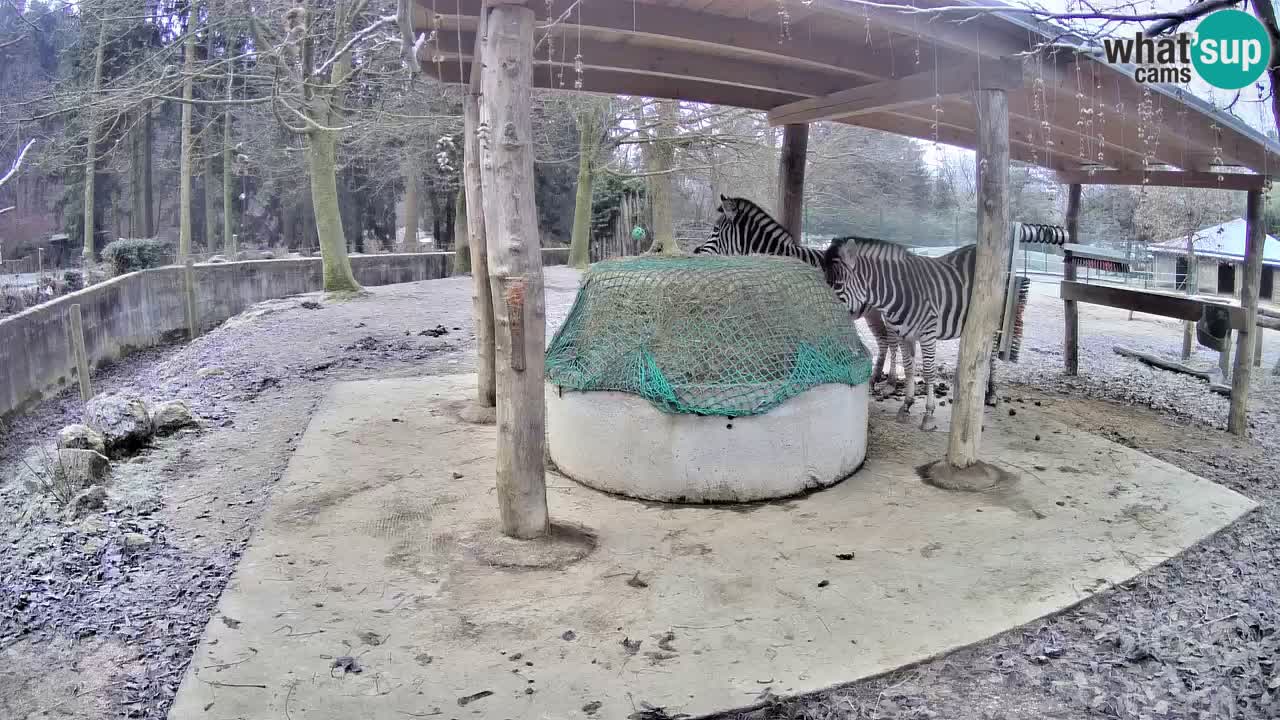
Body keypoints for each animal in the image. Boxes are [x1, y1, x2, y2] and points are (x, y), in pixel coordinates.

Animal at [696, 194, 906, 392]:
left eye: (715, 230)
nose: (696, 251)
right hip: (872, 311)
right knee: (883, 340)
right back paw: (875, 378)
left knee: (895, 341)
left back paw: (891, 382)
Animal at [819, 235, 1008, 427]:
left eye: (838, 285)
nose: (820, 319)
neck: (899, 293)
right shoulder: (904, 335)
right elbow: (909, 368)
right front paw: (906, 405)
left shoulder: (928, 334)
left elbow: (928, 372)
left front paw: (929, 414)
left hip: (994, 318)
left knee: (992, 356)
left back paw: (991, 393)